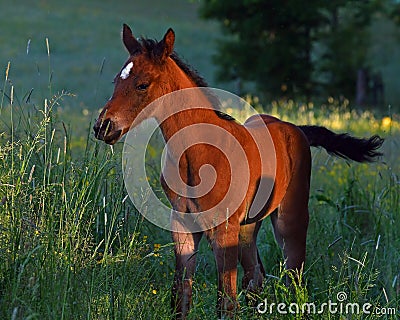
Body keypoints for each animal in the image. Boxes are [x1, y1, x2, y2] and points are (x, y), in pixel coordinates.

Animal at [92, 24, 382, 318]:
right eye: (116, 81)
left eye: (142, 84)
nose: (103, 126)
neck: (196, 153)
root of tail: (295, 128)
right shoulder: (183, 227)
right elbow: (180, 296)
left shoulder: (224, 229)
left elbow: (226, 301)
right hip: (248, 227)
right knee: (255, 277)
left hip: (290, 218)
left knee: (294, 278)